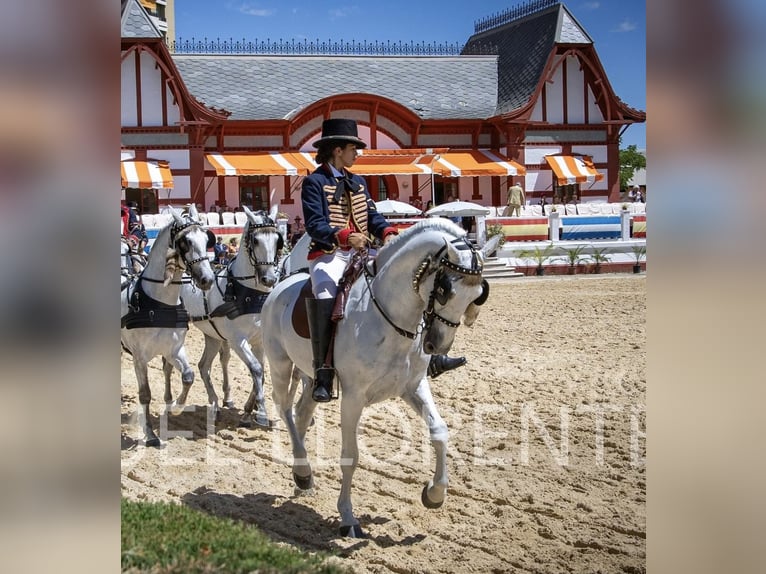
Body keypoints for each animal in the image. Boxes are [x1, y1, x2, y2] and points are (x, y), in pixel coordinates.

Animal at [121, 207, 216, 450]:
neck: (159, 303)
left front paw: (175, 407)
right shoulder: (139, 357)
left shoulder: (174, 349)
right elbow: (145, 394)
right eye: (185, 242)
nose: (207, 279)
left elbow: (188, 376)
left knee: (168, 371)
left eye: (207, 239)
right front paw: (150, 435)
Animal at [178, 206, 284, 428]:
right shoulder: (237, 340)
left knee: (205, 366)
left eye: (277, 240)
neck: (248, 293)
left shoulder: (259, 340)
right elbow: (256, 369)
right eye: (255, 240)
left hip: (213, 335)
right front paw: (261, 412)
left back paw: (218, 403)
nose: (269, 279)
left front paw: (249, 410)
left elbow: (261, 372)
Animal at [262, 220, 492, 540]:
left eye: (478, 295)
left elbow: (439, 432)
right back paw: (304, 471)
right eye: (444, 290)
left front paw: (434, 494)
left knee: (301, 413)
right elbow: (351, 456)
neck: (390, 317)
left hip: (311, 378)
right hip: (280, 365)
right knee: (284, 409)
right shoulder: (353, 398)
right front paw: (348, 518)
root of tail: (282, 285)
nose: (437, 346)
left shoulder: (413, 386)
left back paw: (301, 475)